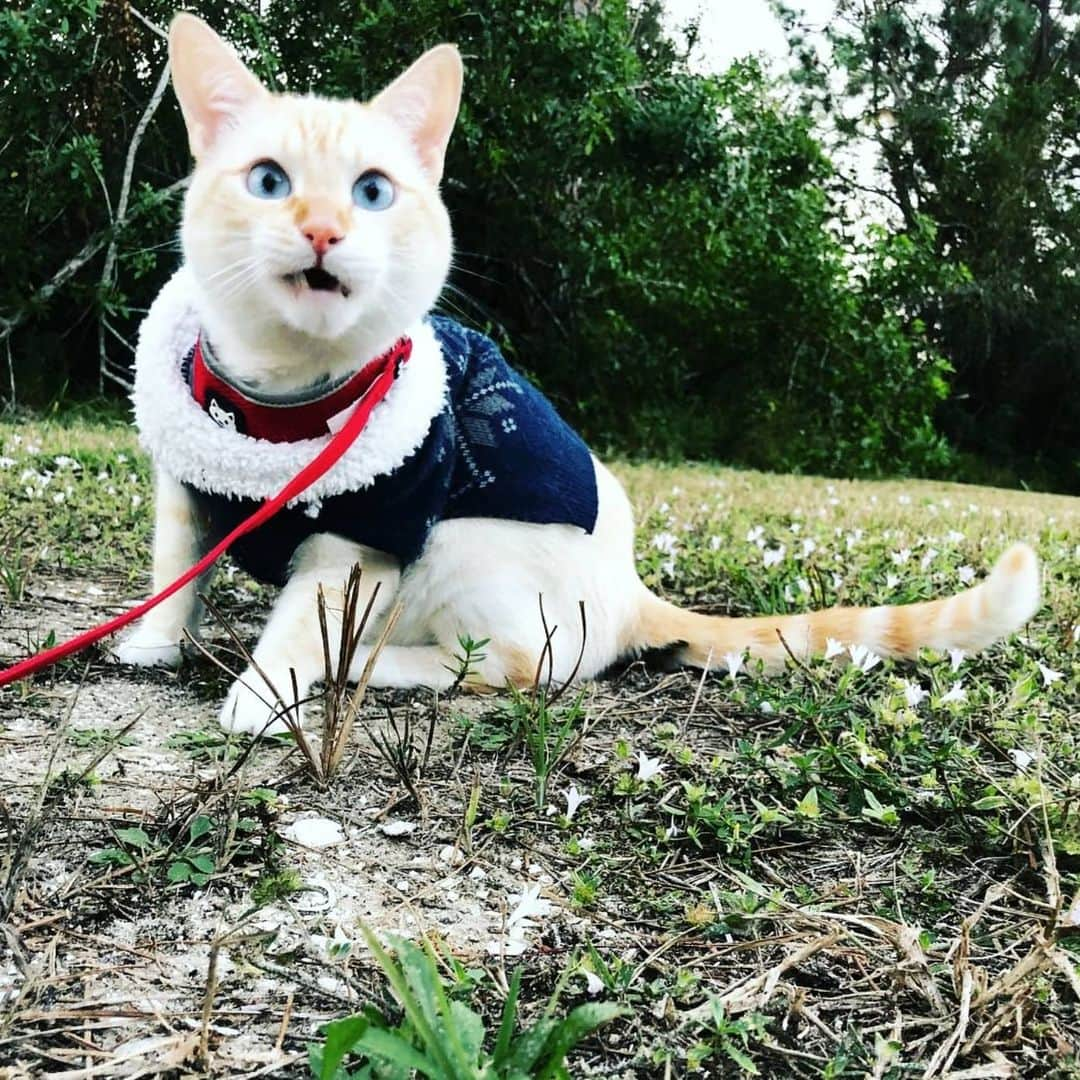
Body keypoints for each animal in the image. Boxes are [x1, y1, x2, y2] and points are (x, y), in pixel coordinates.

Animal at [113, 12, 1041, 734]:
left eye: (372, 192)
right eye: (269, 182)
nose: (322, 230)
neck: (282, 403)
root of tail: (631, 590)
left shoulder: (372, 536)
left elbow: (301, 625)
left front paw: (265, 693)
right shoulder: (185, 490)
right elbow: (171, 574)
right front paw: (150, 646)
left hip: (462, 543)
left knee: (523, 666)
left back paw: (372, 664)